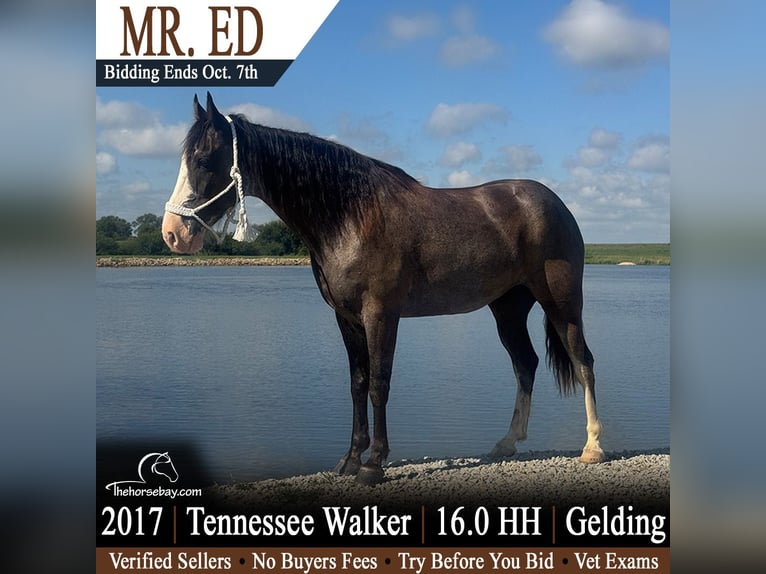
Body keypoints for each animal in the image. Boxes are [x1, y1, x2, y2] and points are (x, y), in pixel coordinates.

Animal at [162, 93, 604, 485]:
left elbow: (379, 383)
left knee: (583, 360)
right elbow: (357, 383)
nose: (172, 234)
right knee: (525, 364)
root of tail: (555, 203)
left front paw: (374, 464)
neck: (350, 217)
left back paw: (593, 447)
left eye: (203, 159)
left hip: (562, 302)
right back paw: (506, 443)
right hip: (508, 308)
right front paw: (350, 459)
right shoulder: (346, 317)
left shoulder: (380, 315)